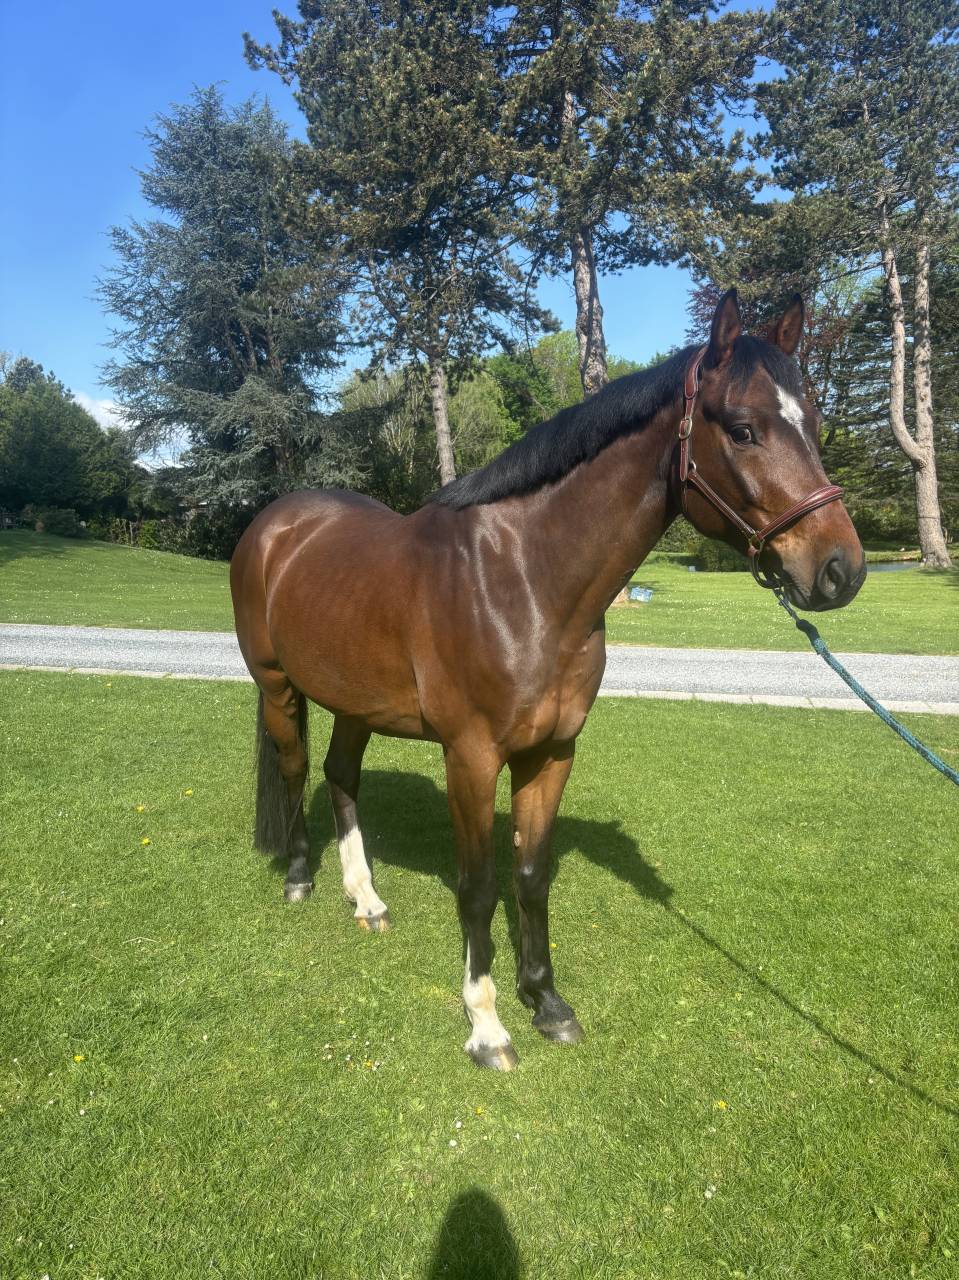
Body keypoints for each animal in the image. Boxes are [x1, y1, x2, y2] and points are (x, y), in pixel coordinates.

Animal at [230, 290, 866, 1070]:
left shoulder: (551, 752)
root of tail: (276, 523)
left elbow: (529, 877)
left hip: (356, 702)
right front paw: (486, 1026)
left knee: (340, 776)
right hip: (277, 686)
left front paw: (547, 1002)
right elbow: (477, 888)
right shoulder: (471, 758)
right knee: (294, 770)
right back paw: (299, 877)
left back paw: (366, 899)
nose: (840, 569)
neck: (525, 579)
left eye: (813, 423)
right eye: (743, 430)